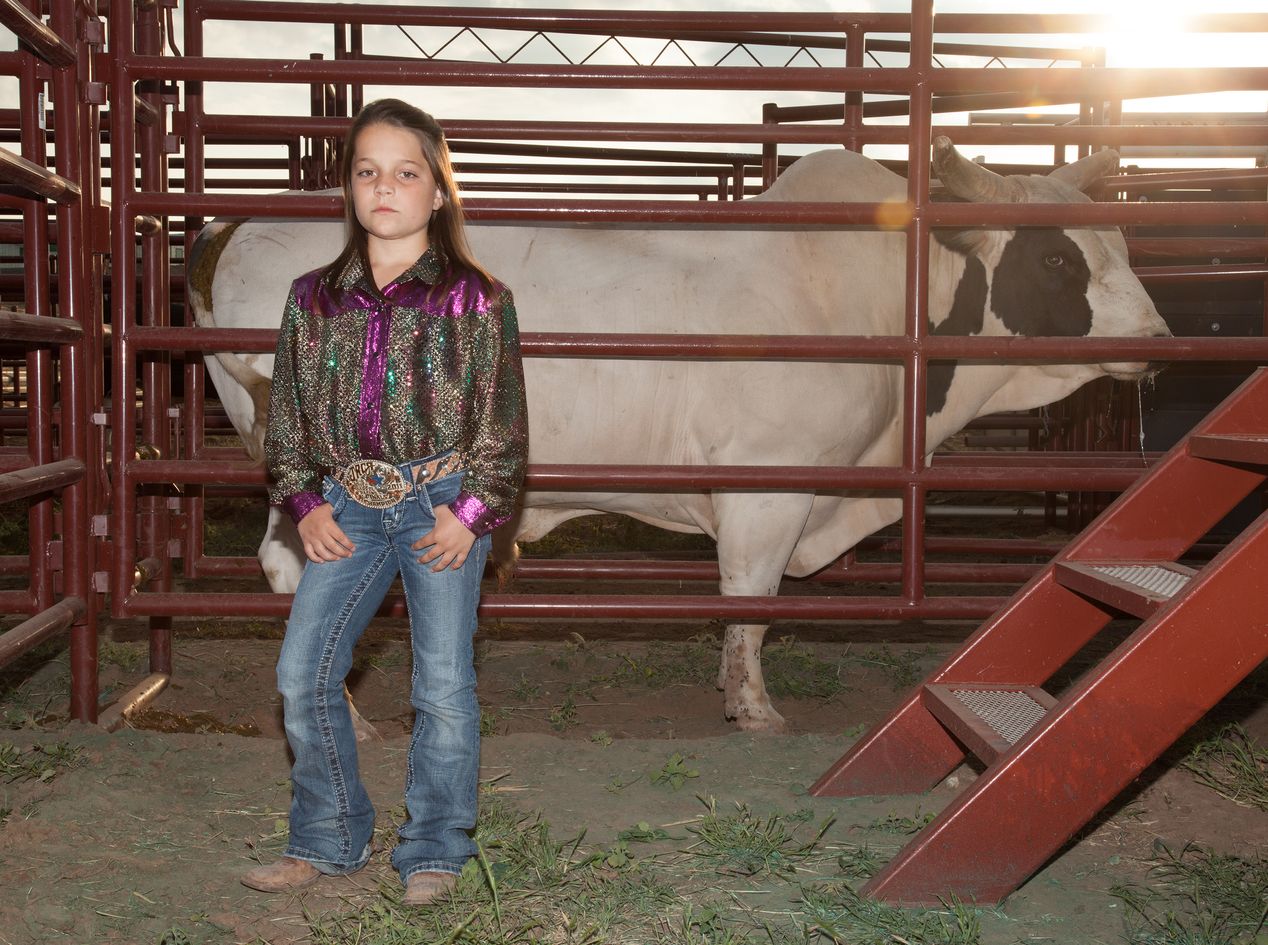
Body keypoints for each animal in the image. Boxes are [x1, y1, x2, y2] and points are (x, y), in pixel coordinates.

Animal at [185, 138, 1166, 730]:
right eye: (1057, 256)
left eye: (1121, 241)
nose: (1158, 338)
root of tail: (234, 224)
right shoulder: (767, 490)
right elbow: (751, 605)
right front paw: (754, 706)